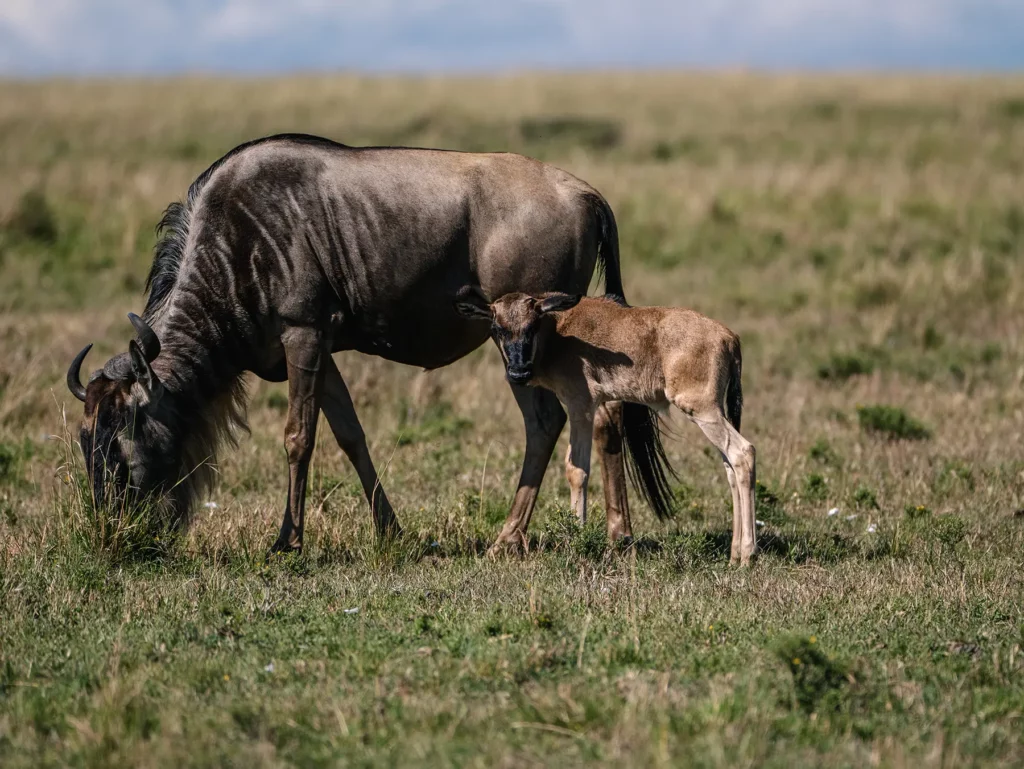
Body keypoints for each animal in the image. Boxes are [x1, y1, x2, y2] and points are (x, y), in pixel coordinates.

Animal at [65, 134, 639, 555]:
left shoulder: (302, 333)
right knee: (585, 417)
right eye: (86, 438)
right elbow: (350, 435)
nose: (108, 533)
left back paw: (535, 537)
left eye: (126, 430)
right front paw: (389, 531)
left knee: (556, 420)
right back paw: (574, 534)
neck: (234, 249)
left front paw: (287, 541)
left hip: (523, 343)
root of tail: (587, 194)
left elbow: (298, 437)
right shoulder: (317, 349)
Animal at [455, 289, 757, 565]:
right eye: (497, 328)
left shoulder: (581, 406)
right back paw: (734, 555)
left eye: (532, 325)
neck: (559, 331)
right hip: (714, 413)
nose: (519, 373)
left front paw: (576, 539)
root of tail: (729, 337)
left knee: (743, 453)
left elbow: (576, 470)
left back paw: (747, 555)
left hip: (702, 410)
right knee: (729, 466)